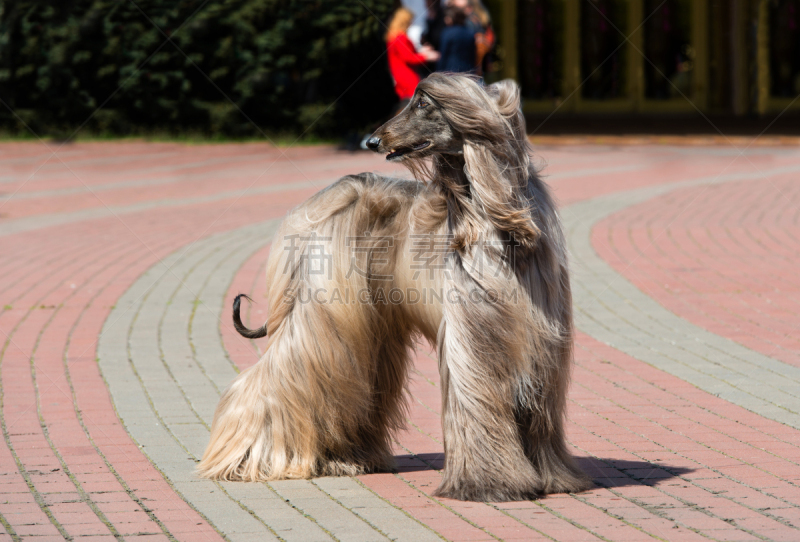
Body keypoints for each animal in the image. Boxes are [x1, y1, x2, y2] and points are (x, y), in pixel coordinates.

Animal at [197, 74, 592, 504]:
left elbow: (538, 412)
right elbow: (476, 399)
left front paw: (551, 477)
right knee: (282, 373)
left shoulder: (538, 339)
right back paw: (245, 458)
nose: (372, 140)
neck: (495, 216)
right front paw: (489, 483)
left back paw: (347, 457)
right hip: (323, 314)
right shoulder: (472, 335)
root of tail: (319, 201)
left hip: (372, 329)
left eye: (423, 104)